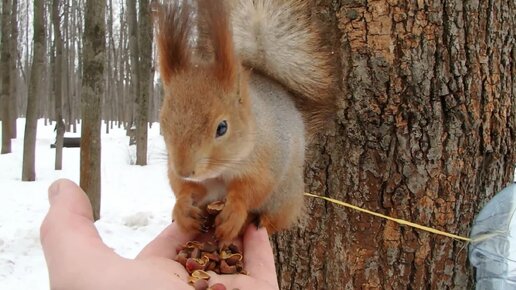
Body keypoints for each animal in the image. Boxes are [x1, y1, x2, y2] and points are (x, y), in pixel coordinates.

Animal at [155, 0, 336, 242]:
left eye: (222, 127)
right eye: (163, 125)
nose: (185, 170)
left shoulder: (266, 161)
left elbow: (252, 190)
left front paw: (234, 214)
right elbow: (183, 189)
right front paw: (182, 209)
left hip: (285, 198)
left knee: (277, 219)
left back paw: (257, 221)